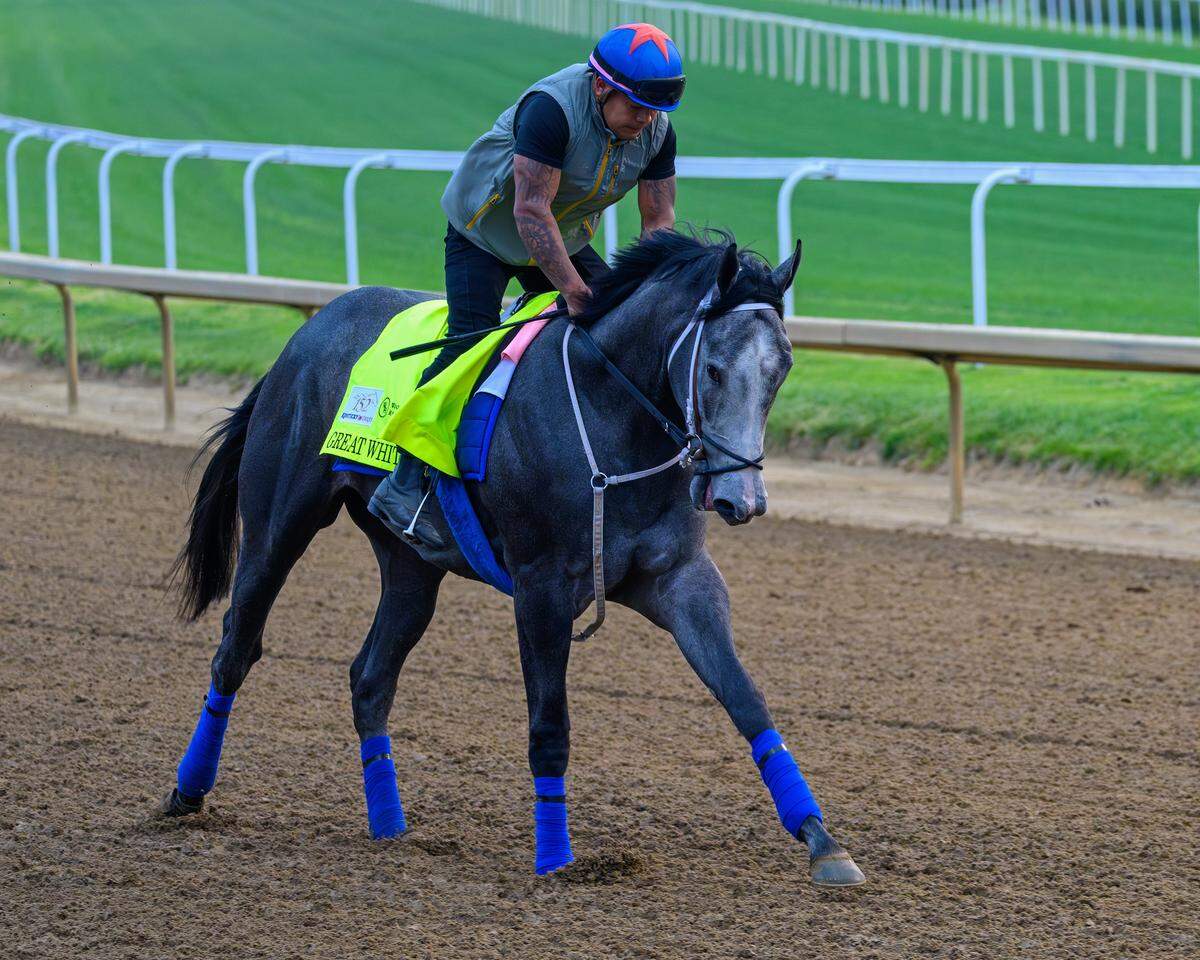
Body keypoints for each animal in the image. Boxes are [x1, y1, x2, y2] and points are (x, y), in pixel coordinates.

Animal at [163, 229, 865, 888]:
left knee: (370, 677)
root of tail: (303, 337)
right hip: (278, 526)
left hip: (411, 565)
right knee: (236, 648)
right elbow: (549, 726)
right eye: (714, 368)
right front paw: (557, 856)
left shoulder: (680, 580)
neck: (612, 415)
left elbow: (746, 700)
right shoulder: (541, 587)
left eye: (782, 370)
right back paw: (187, 791)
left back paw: (389, 824)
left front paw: (822, 841)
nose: (740, 498)